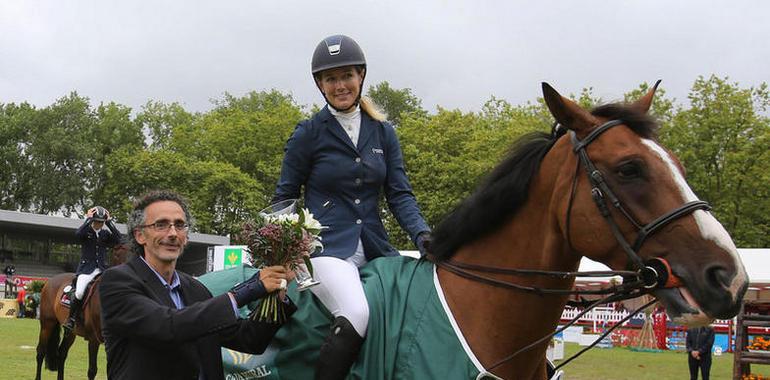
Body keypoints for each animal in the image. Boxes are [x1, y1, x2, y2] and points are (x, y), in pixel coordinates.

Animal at [35, 245, 129, 378]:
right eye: (117, 254)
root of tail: (51, 280)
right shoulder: (94, 339)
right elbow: (92, 371)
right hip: (47, 324)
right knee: (41, 352)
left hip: (71, 332)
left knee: (62, 354)